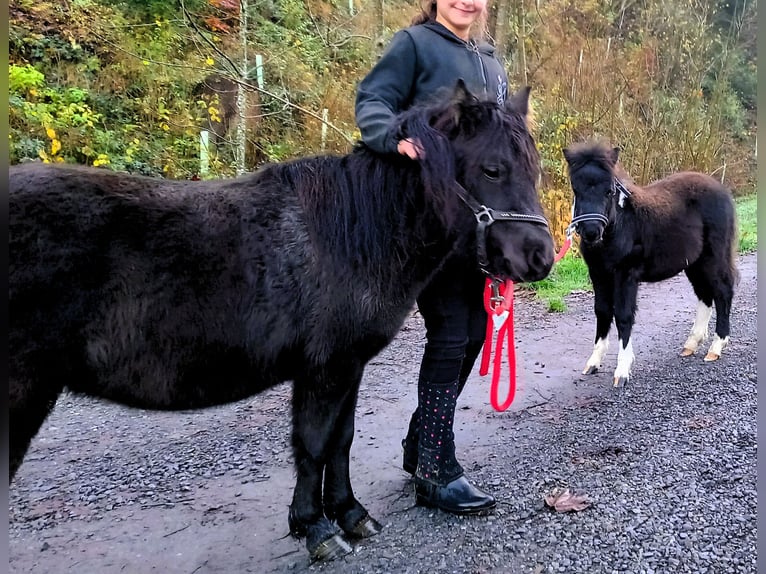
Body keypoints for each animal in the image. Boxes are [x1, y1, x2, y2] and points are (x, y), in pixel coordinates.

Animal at [9, 81, 555, 562]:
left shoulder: (349, 367)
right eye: (492, 169)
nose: (540, 258)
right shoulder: (324, 369)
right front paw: (316, 529)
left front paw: (350, 514)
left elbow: (341, 440)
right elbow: (312, 445)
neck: (351, 232)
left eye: (534, 168)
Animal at [562, 140, 737, 387]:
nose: (591, 231)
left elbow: (623, 315)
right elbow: (602, 311)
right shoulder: (598, 274)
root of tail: (722, 190)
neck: (620, 226)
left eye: (609, 191)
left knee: (722, 292)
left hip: (714, 257)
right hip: (694, 263)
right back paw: (691, 344)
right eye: (576, 189)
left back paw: (716, 347)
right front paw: (594, 362)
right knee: (705, 294)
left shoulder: (626, 274)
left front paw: (622, 371)